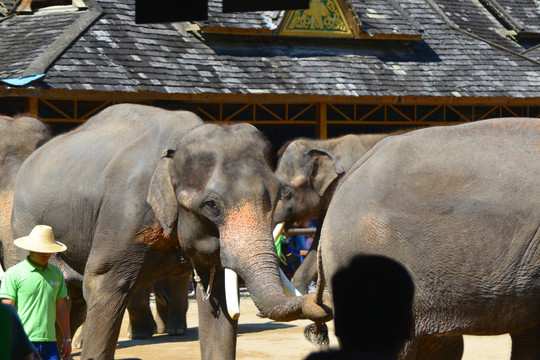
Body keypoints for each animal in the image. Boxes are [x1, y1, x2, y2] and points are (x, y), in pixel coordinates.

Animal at [10, 102, 332, 358]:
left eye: (278, 195)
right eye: (211, 205)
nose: (318, 322)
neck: (178, 144)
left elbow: (218, 302)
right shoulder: (124, 211)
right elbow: (103, 285)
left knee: (71, 300)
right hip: (22, 225)